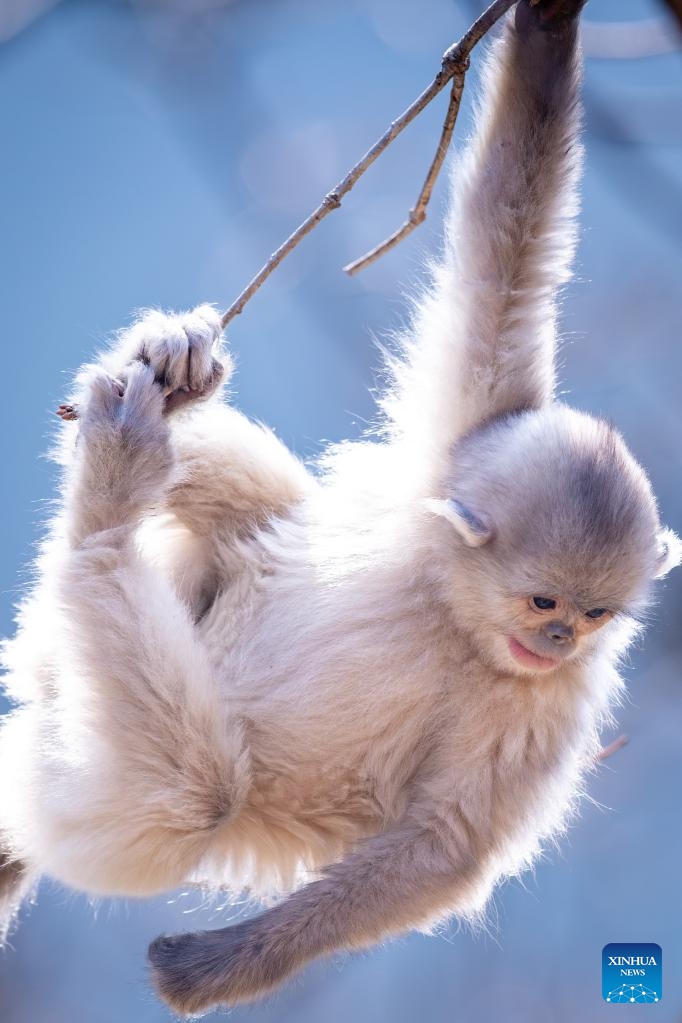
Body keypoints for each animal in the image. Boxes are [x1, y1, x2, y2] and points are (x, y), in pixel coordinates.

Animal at [0, 0, 679, 1016]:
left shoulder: (554, 698)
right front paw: (547, 23)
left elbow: (443, 847)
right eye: (545, 603)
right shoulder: (467, 431)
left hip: (117, 791)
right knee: (244, 496)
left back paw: (108, 513)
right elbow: (506, 241)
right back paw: (165, 394)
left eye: (597, 617)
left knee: (194, 795)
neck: (450, 603)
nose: (561, 639)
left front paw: (220, 966)